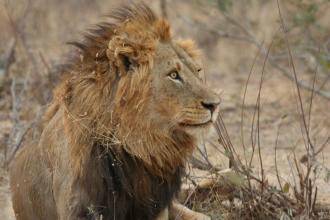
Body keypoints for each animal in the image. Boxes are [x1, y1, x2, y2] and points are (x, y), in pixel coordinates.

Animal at [9, 3, 219, 220]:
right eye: (174, 75)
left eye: (197, 71)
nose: (215, 104)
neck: (139, 146)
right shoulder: (78, 208)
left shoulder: (157, 207)